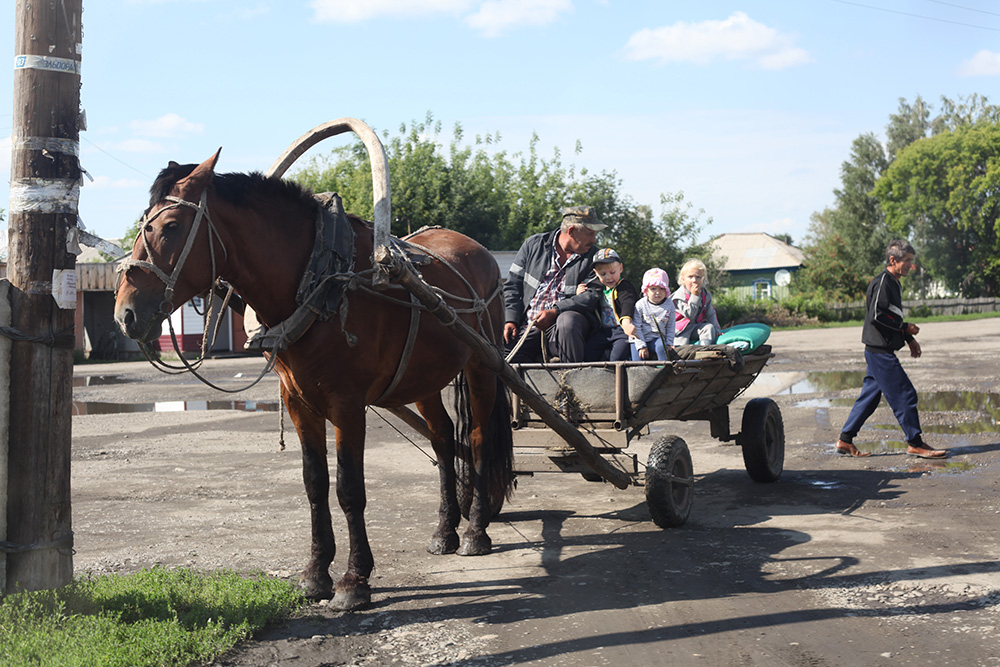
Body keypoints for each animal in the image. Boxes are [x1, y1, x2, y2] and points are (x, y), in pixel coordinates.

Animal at [117, 151, 516, 612]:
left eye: (170, 227)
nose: (124, 313)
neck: (318, 277)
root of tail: (479, 252)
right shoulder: (298, 401)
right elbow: (314, 483)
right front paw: (315, 573)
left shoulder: (348, 404)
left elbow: (348, 488)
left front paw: (354, 580)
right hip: (424, 377)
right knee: (443, 437)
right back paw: (445, 530)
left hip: (482, 366)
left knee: (479, 438)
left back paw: (475, 530)